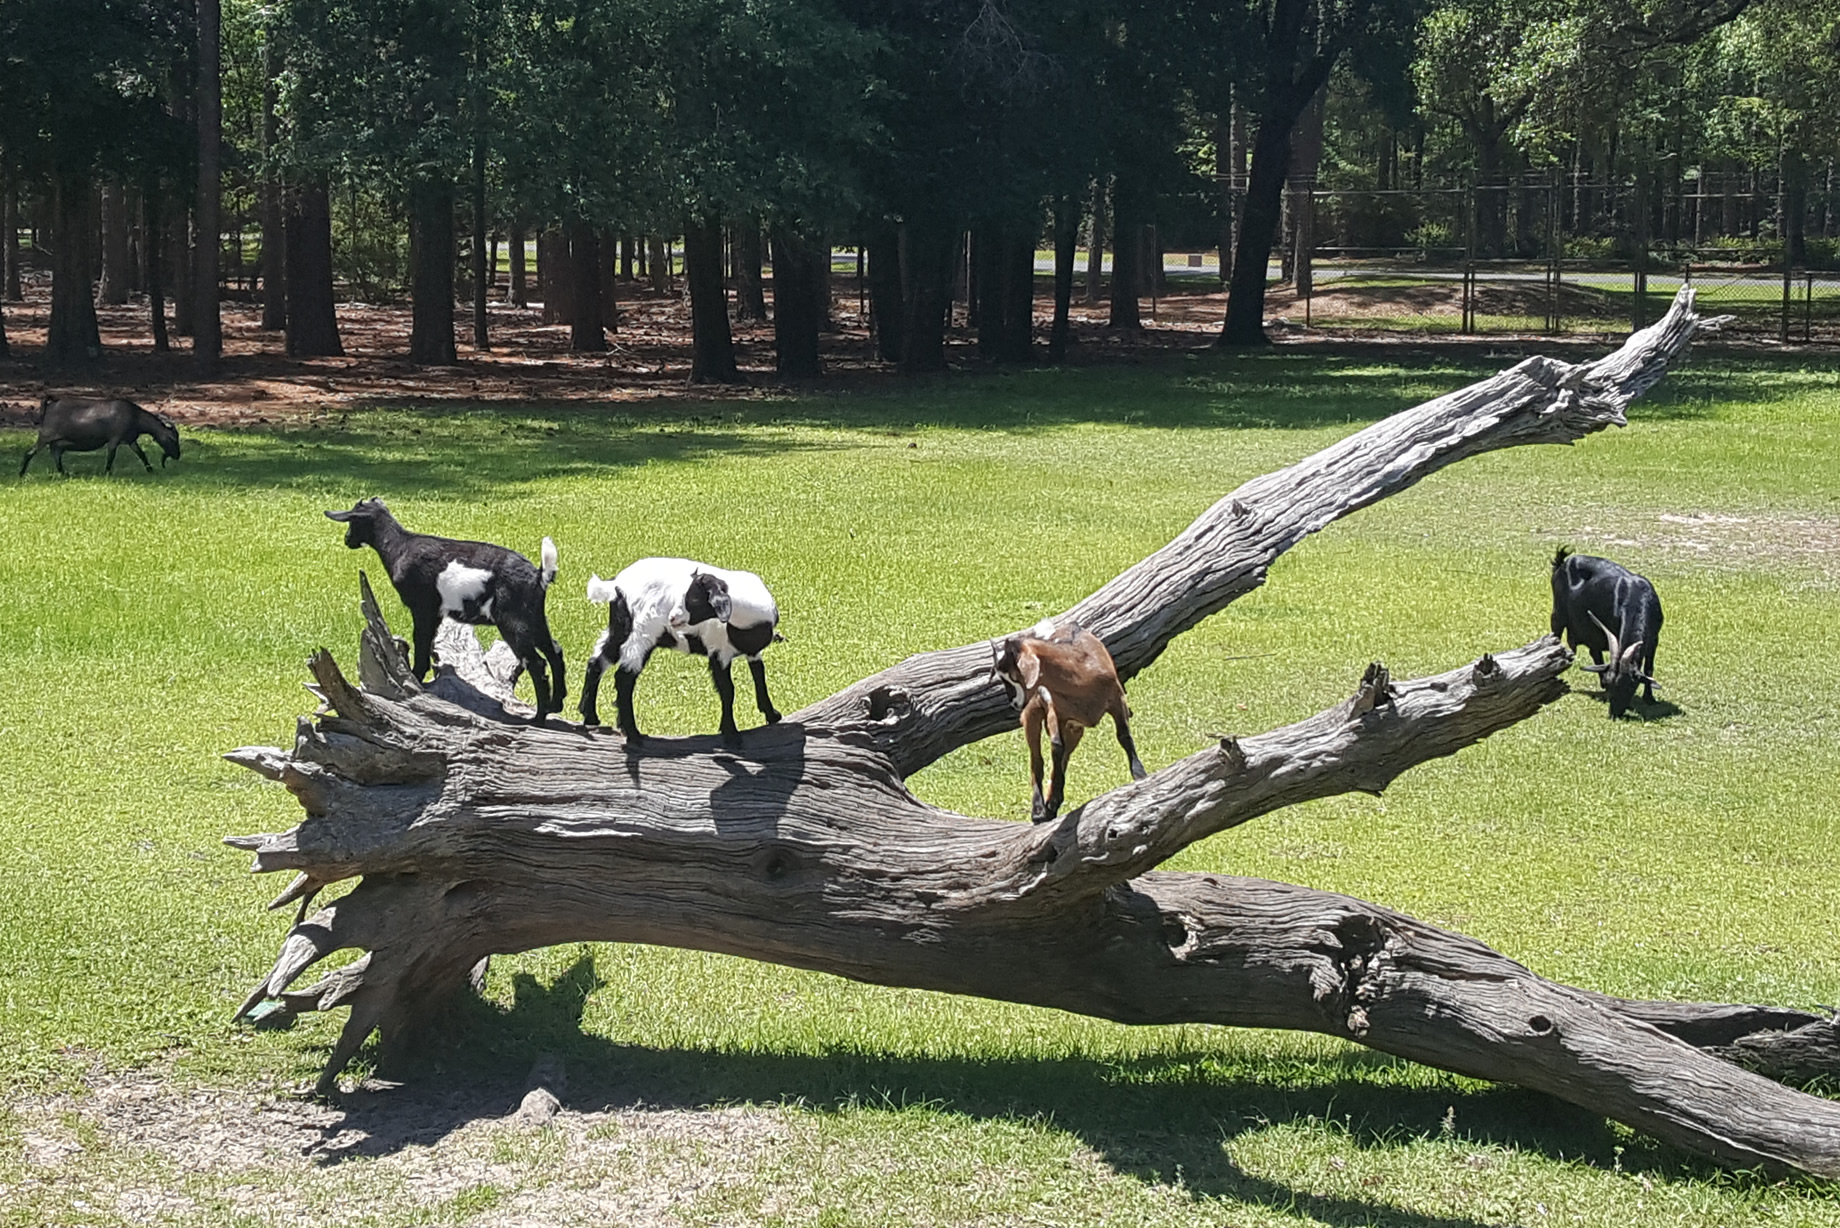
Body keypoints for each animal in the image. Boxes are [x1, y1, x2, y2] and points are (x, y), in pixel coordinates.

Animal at [20, 396, 181, 476]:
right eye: (172, 438)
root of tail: (50, 406)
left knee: (56, 453)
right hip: (45, 435)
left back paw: (64, 473)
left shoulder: (130, 440)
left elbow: (141, 454)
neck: (135, 417)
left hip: (58, 441)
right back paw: (21, 473)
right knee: (29, 453)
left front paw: (150, 470)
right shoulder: (114, 439)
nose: (177, 456)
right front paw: (107, 473)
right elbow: (111, 457)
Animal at [325, 497, 567, 721]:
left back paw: (539, 717)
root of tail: (539, 575)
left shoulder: (422, 608)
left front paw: (415, 678)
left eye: (352, 522)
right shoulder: (436, 613)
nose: (347, 540)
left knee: (536, 662)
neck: (399, 546)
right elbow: (428, 642)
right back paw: (556, 705)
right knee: (554, 651)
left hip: (512, 620)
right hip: (534, 616)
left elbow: (421, 641)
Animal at [578, 557, 782, 743]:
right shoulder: (718, 651)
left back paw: (590, 716)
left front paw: (772, 715)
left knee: (597, 662)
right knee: (624, 677)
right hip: (642, 632)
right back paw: (634, 735)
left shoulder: (753, 652)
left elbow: (759, 677)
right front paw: (731, 734)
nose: (672, 618)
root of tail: (616, 586)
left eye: (694, 599)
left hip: (621, 627)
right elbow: (728, 690)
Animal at [993, 620, 1147, 822]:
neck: (1082, 675)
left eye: (1013, 675)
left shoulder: (1117, 700)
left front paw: (1140, 775)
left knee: (1063, 754)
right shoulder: (1055, 708)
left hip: (1074, 729)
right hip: (1034, 714)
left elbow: (1124, 737)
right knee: (1038, 759)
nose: (1014, 703)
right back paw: (1039, 810)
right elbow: (1056, 746)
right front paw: (1049, 803)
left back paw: (1051, 805)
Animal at [1550, 547, 1663, 719]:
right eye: (1613, 685)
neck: (1636, 600)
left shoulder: (1654, 639)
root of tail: (1563, 563)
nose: (1613, 714)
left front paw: (1649, 698)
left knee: (1595, 652)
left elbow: (1649, 668)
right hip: (1558, 615)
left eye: (1630, 685)